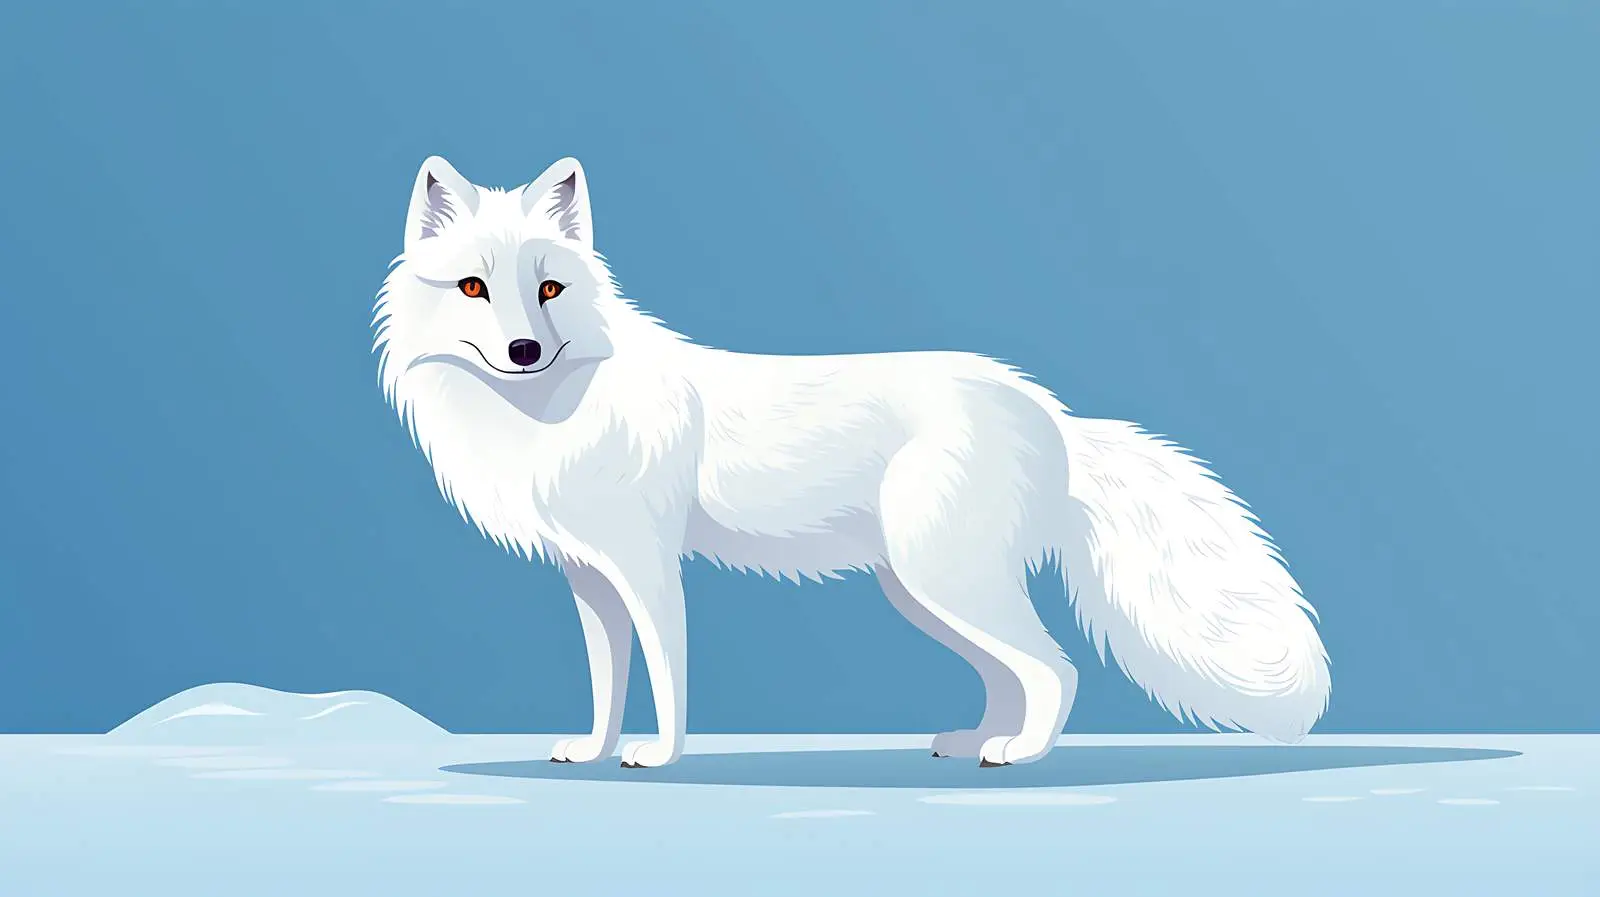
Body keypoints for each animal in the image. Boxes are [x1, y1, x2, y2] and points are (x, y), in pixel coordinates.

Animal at [372, 156, 1331, 769]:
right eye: (473, 288)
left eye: (550, 288)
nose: (526, 350)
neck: (554, 411)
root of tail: (1053, 414)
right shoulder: (589, 577)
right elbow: (609, 680)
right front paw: (593, 748)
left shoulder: (648, 569)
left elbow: (668, 676)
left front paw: (660, 754)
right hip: (921, 588)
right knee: (1010, 672)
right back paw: (973, 739)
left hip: (943, 577)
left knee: (1055, 668)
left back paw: (1019, 753)